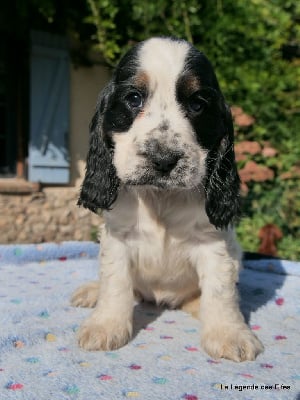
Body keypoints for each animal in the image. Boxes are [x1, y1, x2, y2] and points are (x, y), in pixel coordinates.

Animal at [71, 37, 264, 362]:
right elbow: (115, 283)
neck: (161, 197)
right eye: (134, 98)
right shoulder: (117, 238)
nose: (163, 159)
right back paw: (91, 291)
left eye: (197, 104)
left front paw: (229, 333)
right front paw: (105, 326)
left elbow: (220, 291)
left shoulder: (214, 243)